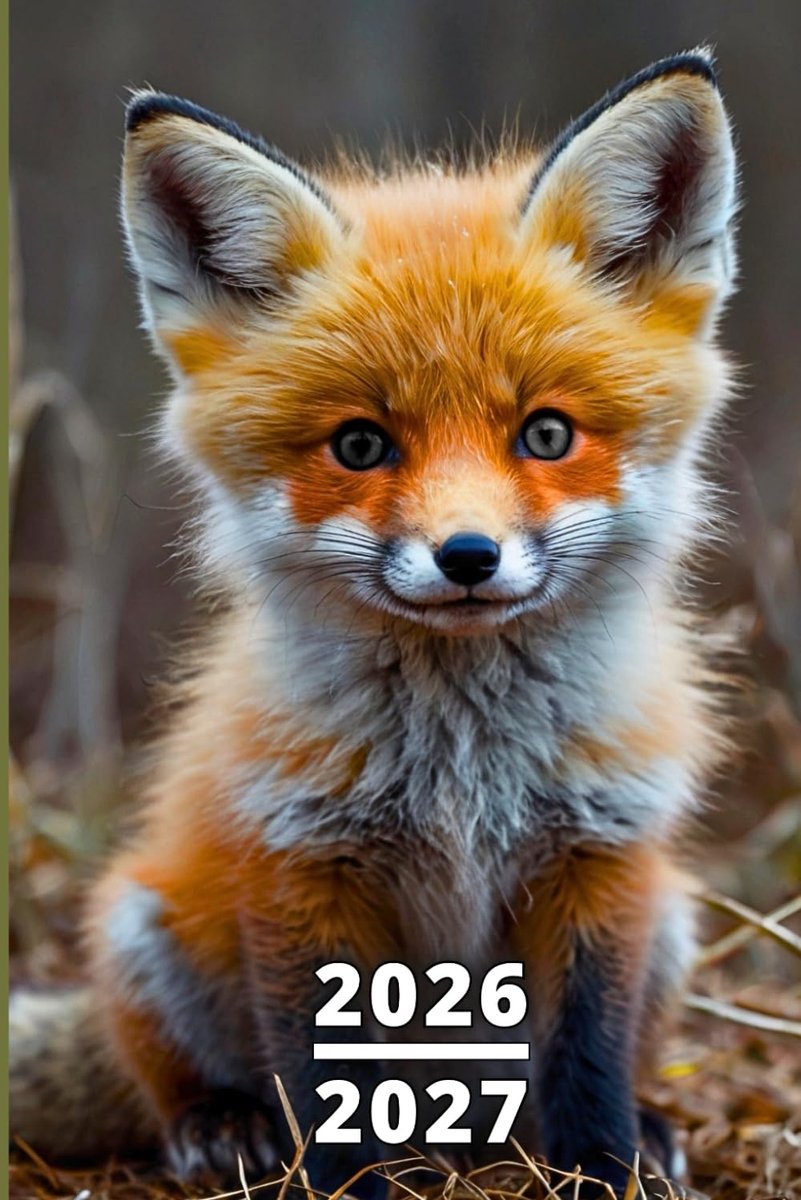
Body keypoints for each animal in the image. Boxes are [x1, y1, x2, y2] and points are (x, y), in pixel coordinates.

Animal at [10, 49, 739, 1200]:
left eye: (546, 434)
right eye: (359, 445)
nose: (468, 556)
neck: (463, 768)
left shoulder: (602, 860)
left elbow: (588, 1057)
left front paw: (603, 1169)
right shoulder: (303, 868)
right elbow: (327, 1076)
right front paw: (343, 1181)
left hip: (669, 919)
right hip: (140, 926)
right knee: (163, 1080)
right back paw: (221, 1124)